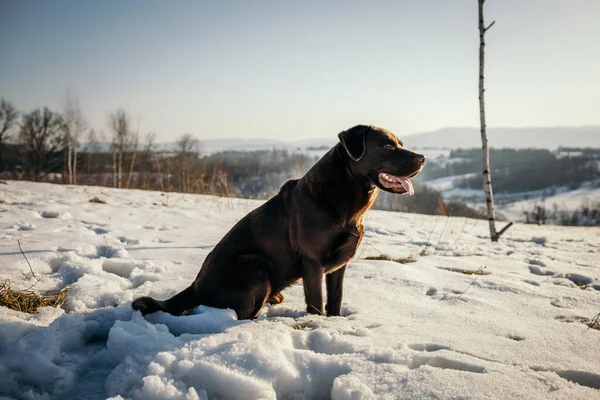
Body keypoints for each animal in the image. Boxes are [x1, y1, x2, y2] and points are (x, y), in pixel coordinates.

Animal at [132, 125, 424, 318]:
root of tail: (193, 287)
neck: (344, 203)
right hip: (255, 266)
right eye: (387, 145)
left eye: (400, 143)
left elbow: (336, 298)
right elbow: (316, 302)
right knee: (241, 313)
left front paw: (335, 321)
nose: (423, 158)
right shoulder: (312, 263)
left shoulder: (339, 265)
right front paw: (317, 324)